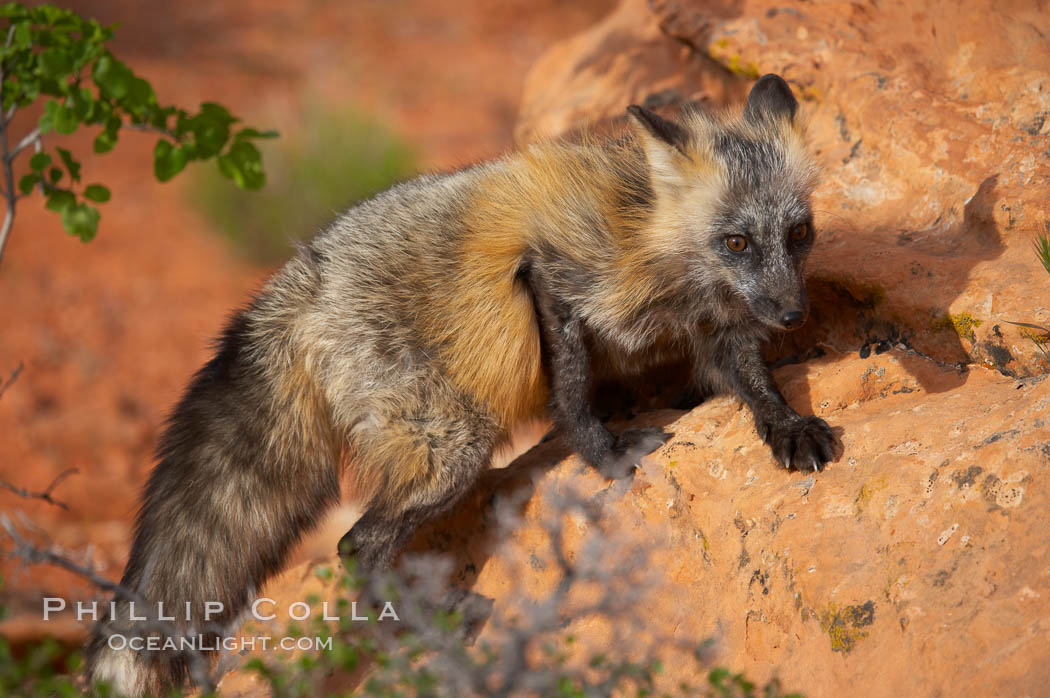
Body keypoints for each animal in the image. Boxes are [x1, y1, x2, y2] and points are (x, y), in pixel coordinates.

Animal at [86, 73, 831, 692]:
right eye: (737, 242)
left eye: (799, 232)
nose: (794, 314)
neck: (653, 240)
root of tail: (302, 278)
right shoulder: (556, 281)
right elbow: (574, 397)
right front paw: (607, 454)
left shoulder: (721, 330)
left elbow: (756, 386)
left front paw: (790, 427)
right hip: (452, 444)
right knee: (356, 545)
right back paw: (433, 621)